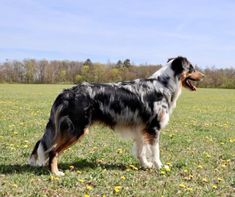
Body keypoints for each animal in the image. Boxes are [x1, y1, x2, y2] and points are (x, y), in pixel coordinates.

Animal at [28, 55, 204, 175]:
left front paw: (145, 165)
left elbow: (141, 151)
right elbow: (155, 151)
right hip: (76, 130)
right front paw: (159, 166)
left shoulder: (141, 129)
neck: (163, 85)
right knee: (53, 151)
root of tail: (65, 92)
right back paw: (56, 173)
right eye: (192, 68)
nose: (204, 76)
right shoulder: (153, 128)